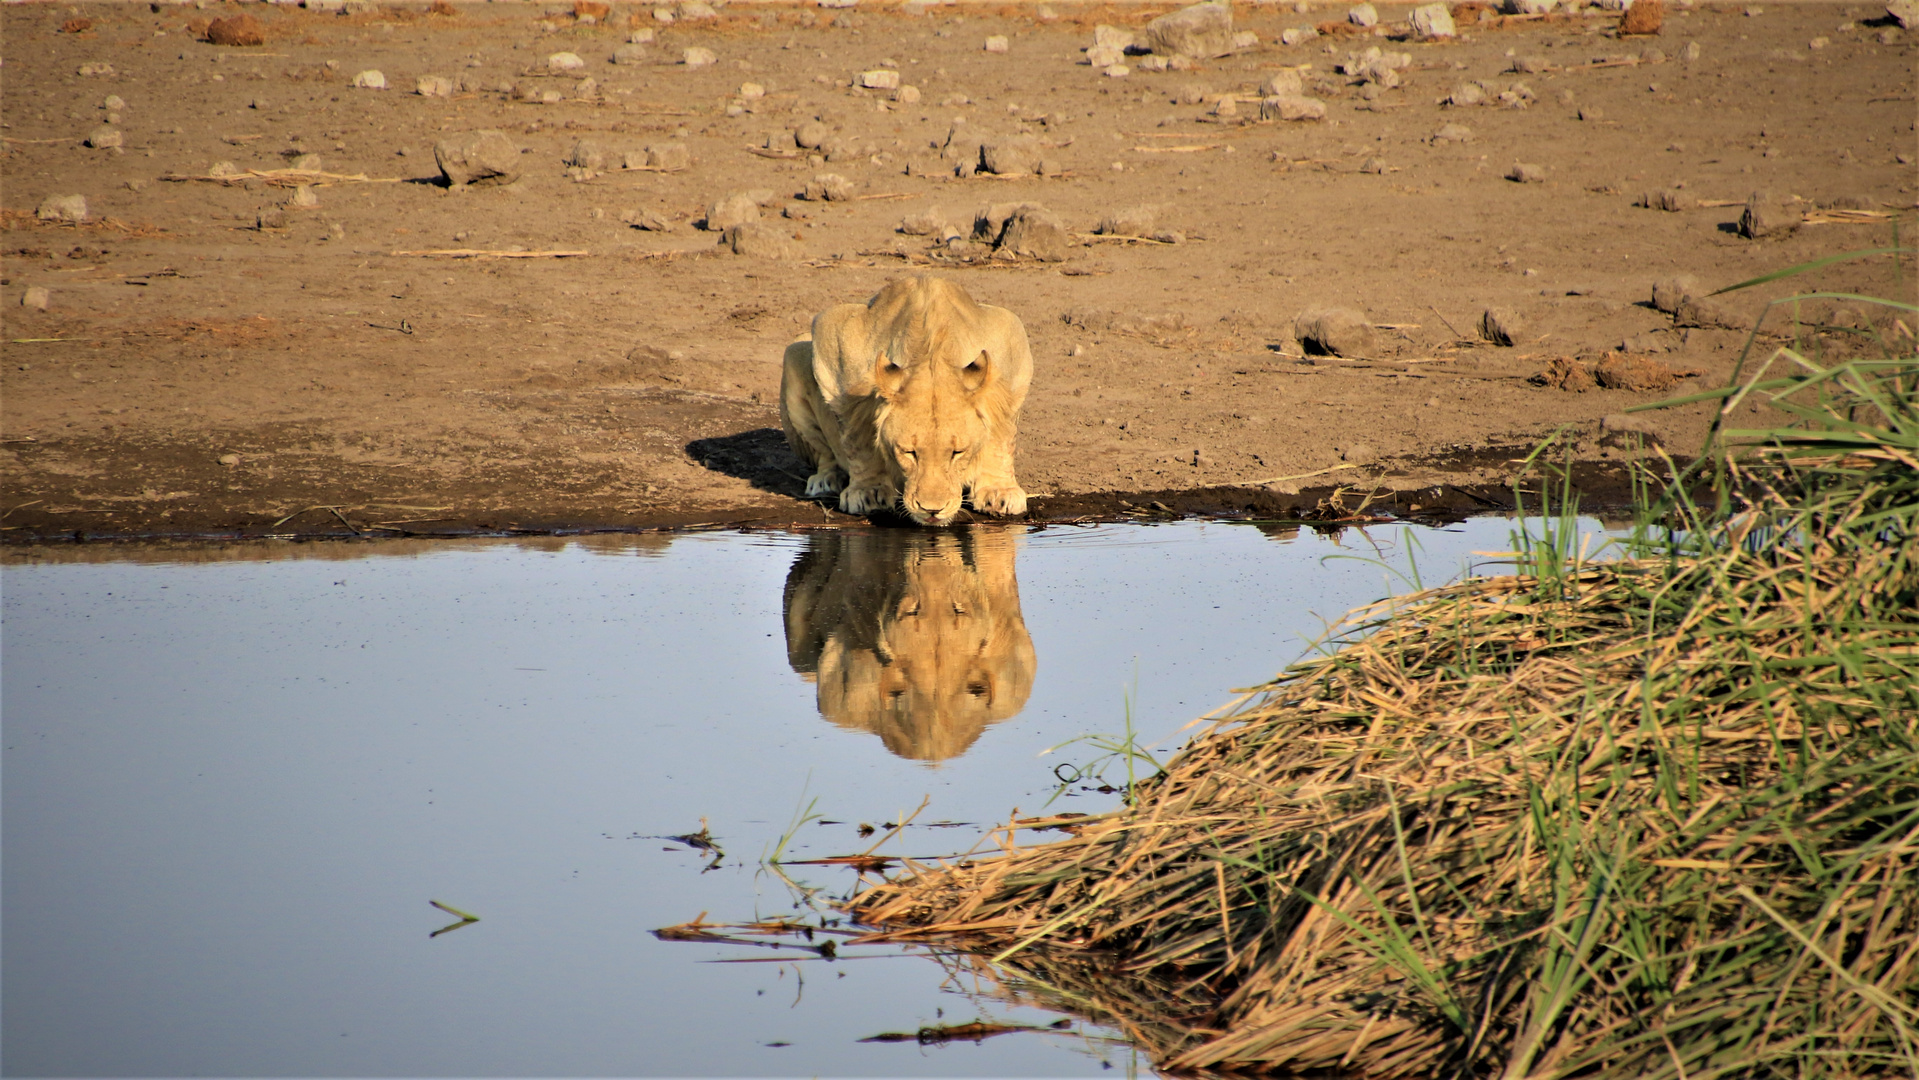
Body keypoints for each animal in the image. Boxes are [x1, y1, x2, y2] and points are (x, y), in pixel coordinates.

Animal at [779, 274, 1036, 529]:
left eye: (957, 452)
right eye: (909, 452)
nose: (932, 510)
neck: (932, 350)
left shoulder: (1011, 339)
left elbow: (1003, 432)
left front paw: (999, 491)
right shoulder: (834, 336)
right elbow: (857, 435)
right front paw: (868, 491)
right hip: (794, 352)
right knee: (824, 452)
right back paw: (827, 479)